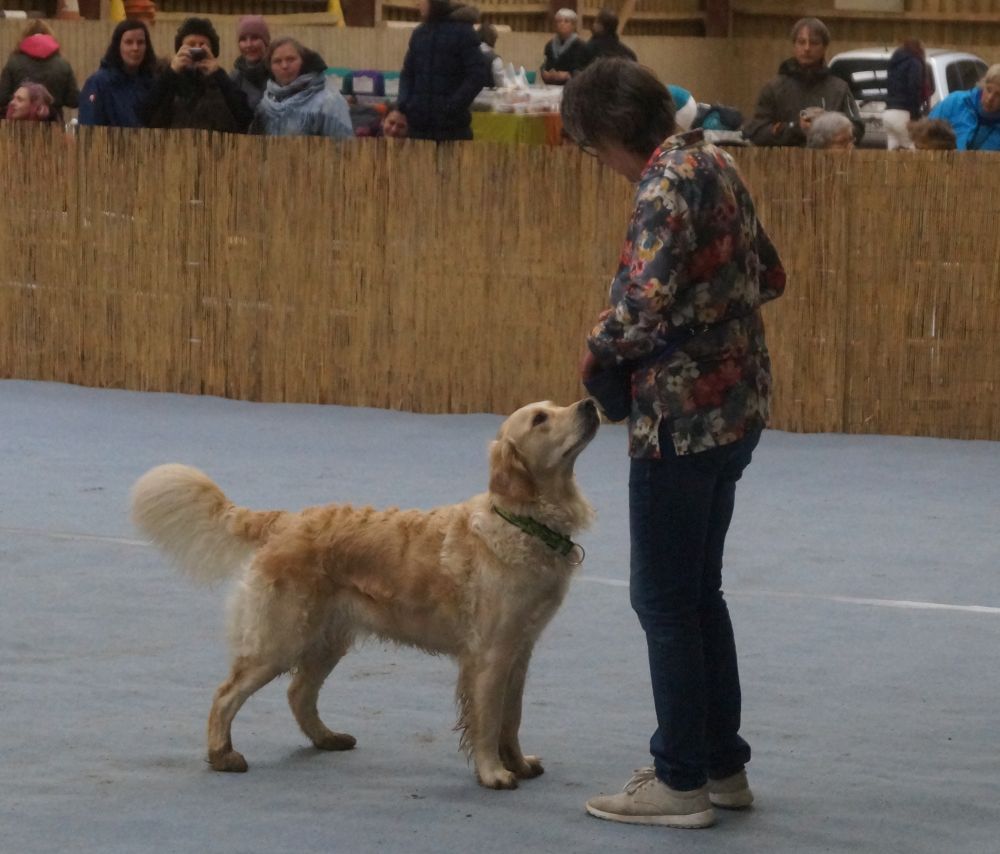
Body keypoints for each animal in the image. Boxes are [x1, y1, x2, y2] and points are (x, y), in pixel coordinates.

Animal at [130, 399, 599, 789]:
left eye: (556, 405)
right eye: (540, 419)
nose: (590, 404)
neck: (523, 522)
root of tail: (286, 521)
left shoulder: (520, 649)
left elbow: (511, 718)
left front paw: (518, 763)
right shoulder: (490, 654)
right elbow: (487, 720)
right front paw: (494, 773)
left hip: (327, 639)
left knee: (298, 693)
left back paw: (327, 738)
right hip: (280, 639)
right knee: (226, 694)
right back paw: (222, 755)